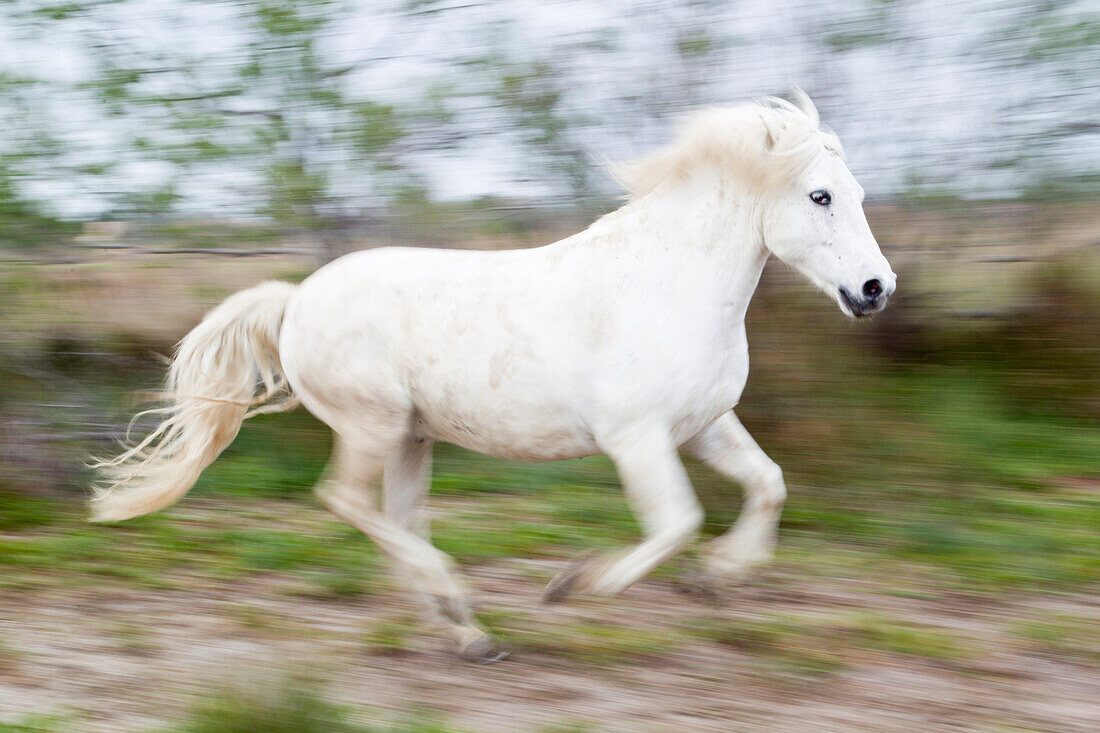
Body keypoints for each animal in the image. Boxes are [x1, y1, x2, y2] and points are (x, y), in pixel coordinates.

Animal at [90, 93, 888, 660]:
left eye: (857, 194)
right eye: (819, 196)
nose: (876, 289)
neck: (666, 286)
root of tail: (295, 300)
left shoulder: (704, 427)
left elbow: (768, 484)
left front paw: (719, 576)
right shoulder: (637, 439)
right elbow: (676, 523)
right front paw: (572, 586)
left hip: (411, 438)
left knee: (396, 517)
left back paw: (468, 631)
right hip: (373, 425)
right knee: (346, 501)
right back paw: (459, 605)